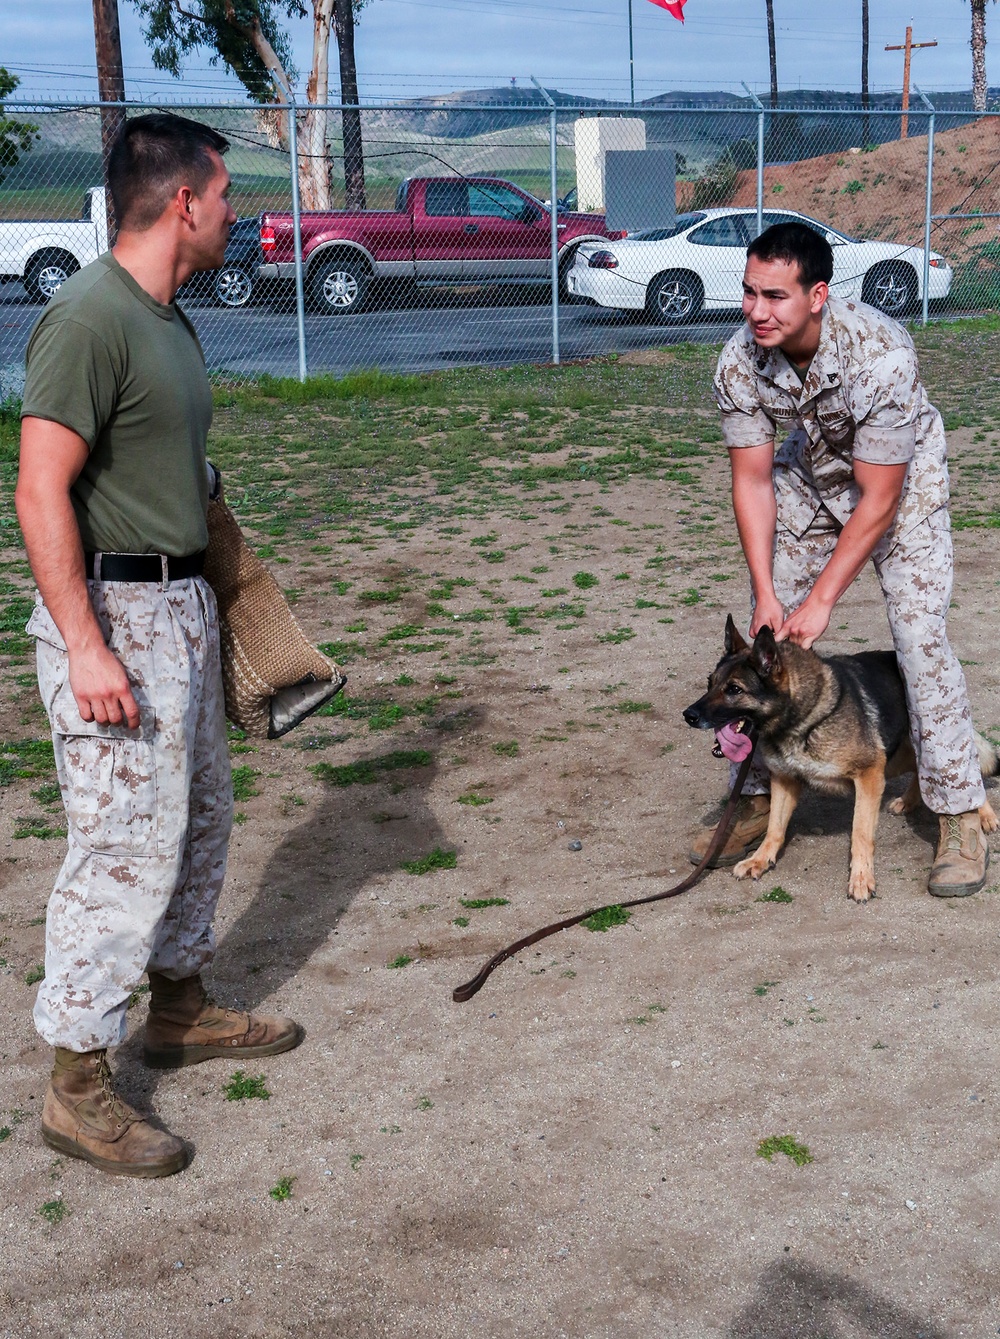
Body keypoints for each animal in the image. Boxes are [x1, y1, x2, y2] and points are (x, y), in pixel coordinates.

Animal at [685, 615, 995, 899]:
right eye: (710, 684)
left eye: (734, 689)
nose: (688, 715)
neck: (804, 719)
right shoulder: (784, 780)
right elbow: (775, 827)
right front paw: (759, 860)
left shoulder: (869, 775)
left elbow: (860, 833)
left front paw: (861, 878)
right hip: (896, 757)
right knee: (923, 768)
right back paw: (908, 800)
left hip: (907, 749)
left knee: (963, 763)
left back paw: (985, 814)